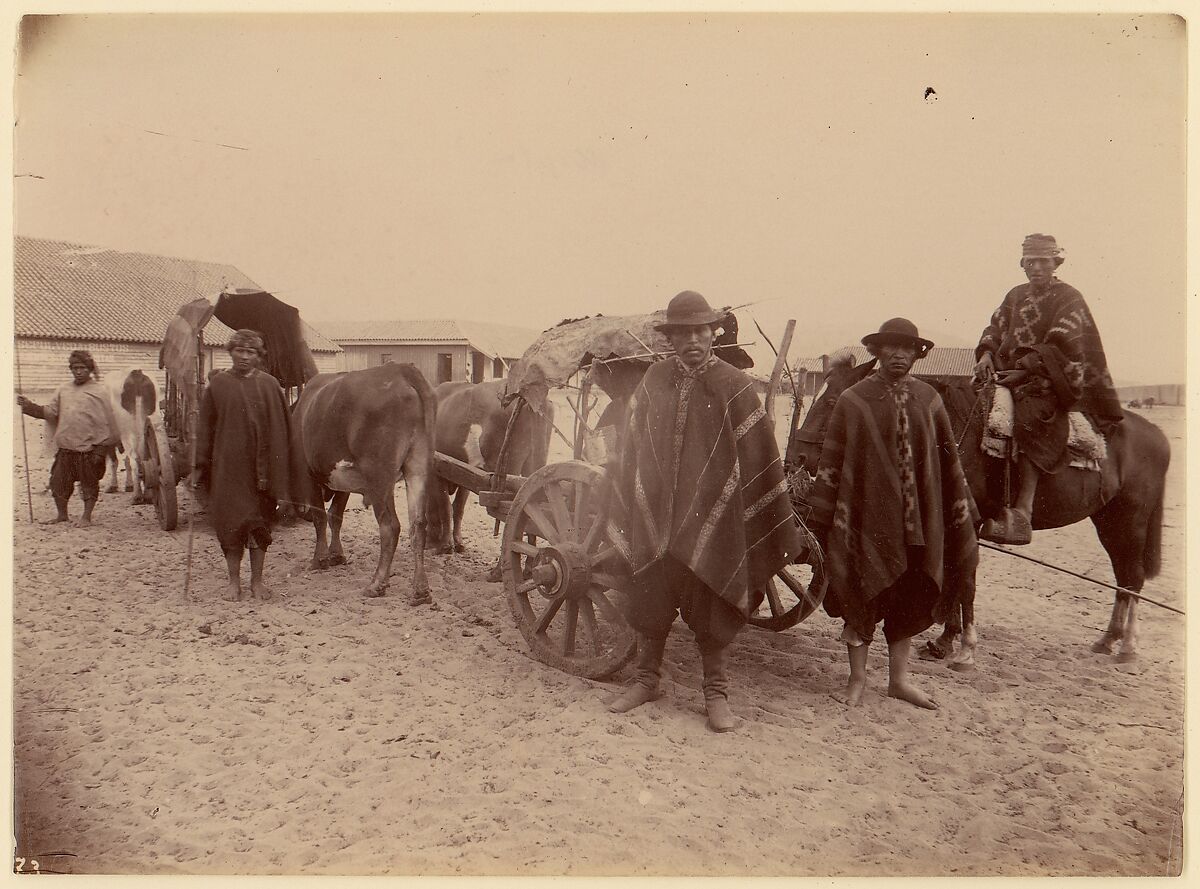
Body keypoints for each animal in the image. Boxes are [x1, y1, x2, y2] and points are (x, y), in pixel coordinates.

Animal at [792, 352, 1166, 667]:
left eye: (831, 401)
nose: (799, 455)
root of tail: (1155, 434)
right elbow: (955, 579)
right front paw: (944, 641)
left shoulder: (967, 520)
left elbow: (965, 580)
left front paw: (965, 649)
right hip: (1109, 521)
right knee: (1123, 579)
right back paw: (1108, 640)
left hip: (1129, 521)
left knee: (1132, 578)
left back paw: (1128, 646)